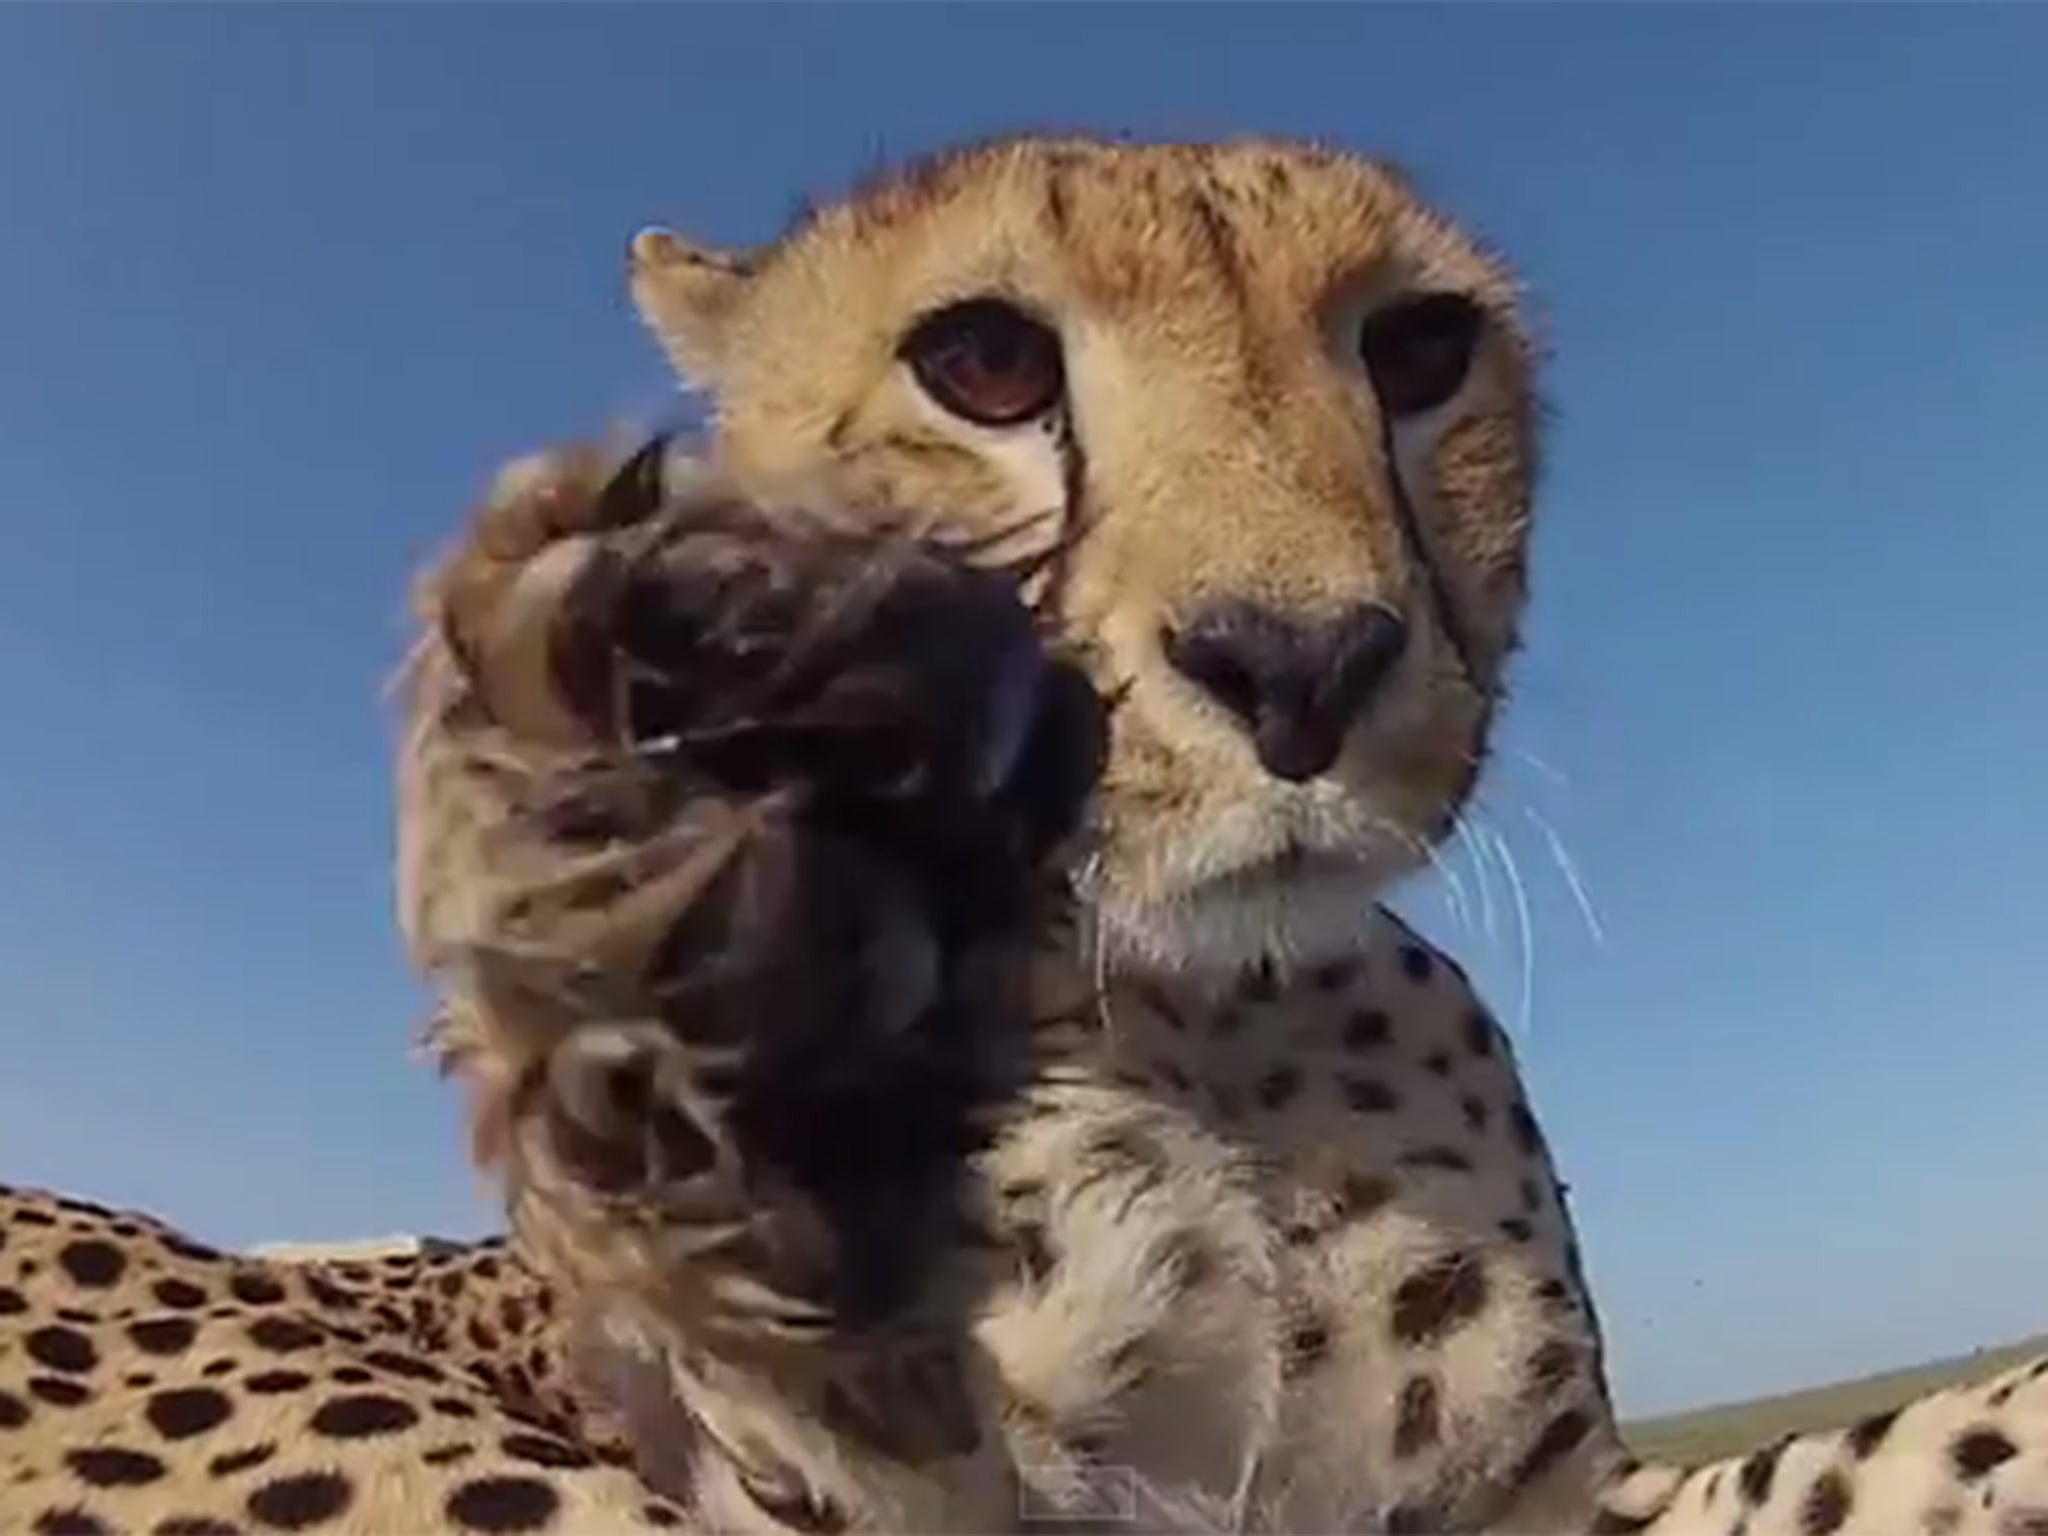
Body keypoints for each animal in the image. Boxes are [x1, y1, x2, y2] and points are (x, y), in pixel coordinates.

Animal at [4, 135, 2048, 1536]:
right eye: (982, 366)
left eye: (1420, 352)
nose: (1298, 660)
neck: (1205, 1024)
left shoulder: (1545, 1505)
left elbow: (1907, 1446)